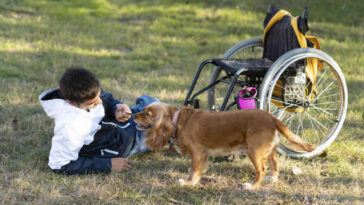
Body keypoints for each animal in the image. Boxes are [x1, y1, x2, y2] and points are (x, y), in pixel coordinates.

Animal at [132, 101, 314, 190]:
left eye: (148, 114)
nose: (133, 116)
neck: (177, 120)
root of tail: (272, 118)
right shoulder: (202, 153)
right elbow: (199, 166)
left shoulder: (196, 152)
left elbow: (194, 170)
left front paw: (189, 182)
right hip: (268, 151)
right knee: (275, 163)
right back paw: (273, 178)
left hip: (254, 151)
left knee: (261, 170)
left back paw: (252, 186)